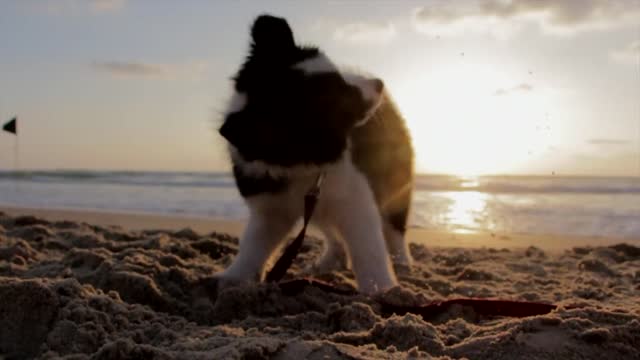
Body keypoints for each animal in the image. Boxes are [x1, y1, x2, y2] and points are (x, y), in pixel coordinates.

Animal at [216, 14, 416, 296]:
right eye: (341, 98)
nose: (379, 83)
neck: (300, 163)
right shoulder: (270, 208)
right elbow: (253, 245)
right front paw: (234, 278)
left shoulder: (355, 199)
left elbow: (369, 249)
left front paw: (382, 288)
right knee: (332, 230)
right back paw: (330, 260)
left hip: (393, 180)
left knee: (395, 227)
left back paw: (402, 261)